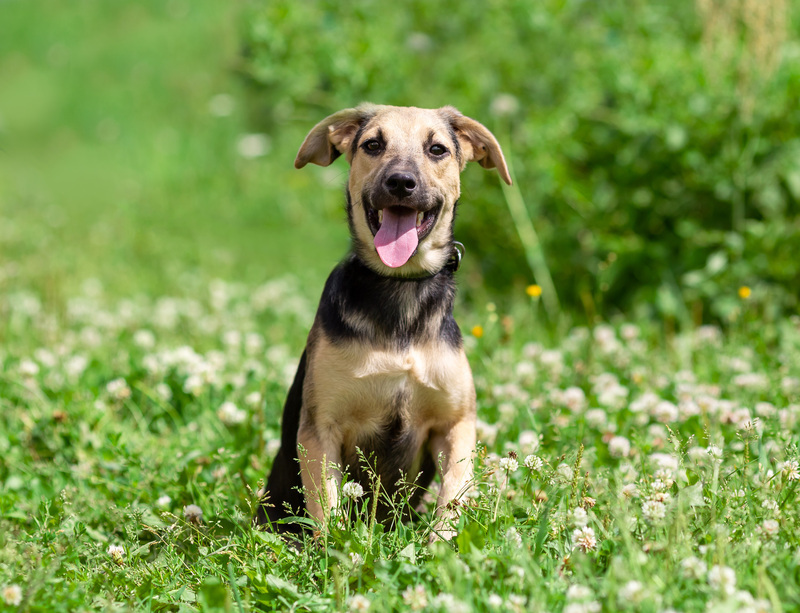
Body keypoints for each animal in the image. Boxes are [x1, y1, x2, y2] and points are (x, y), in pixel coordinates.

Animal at [253, 105, 510, 540]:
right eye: (373, 144)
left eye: (437, 149)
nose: (401, 183)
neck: (400, 291)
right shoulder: (321, 429)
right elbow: (327, 510)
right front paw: (336, 552)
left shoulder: (456, 424)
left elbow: (451, 497)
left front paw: (441, 545)